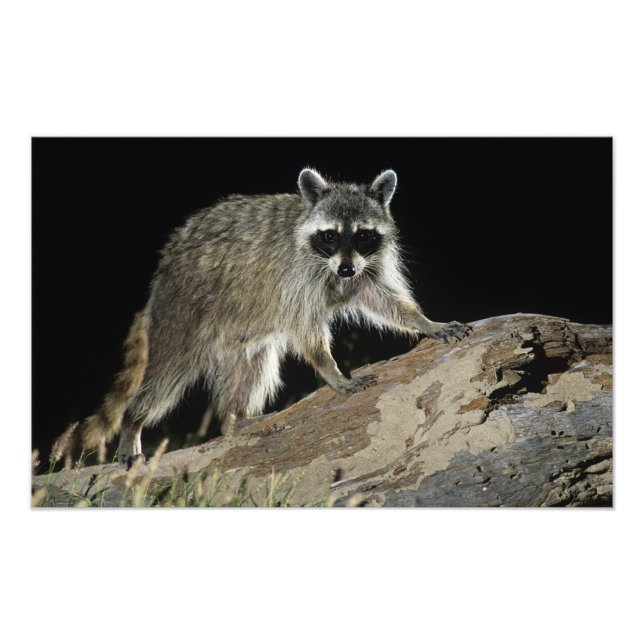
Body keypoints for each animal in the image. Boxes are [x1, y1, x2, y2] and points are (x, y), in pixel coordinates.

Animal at [51, 168, 470, 468]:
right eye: (330, 236)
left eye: (364, 235)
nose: (347, 269)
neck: (333, 265)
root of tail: (161, 278)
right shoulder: (295, 276)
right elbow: (306, 330)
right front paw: (331, 370)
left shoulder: (368, 266)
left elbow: (384, 299)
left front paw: (425, 322)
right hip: (183, 311)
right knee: (168, 372)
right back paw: (134, 422)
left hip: (238, 336)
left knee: (252, 369)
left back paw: (235, 418)